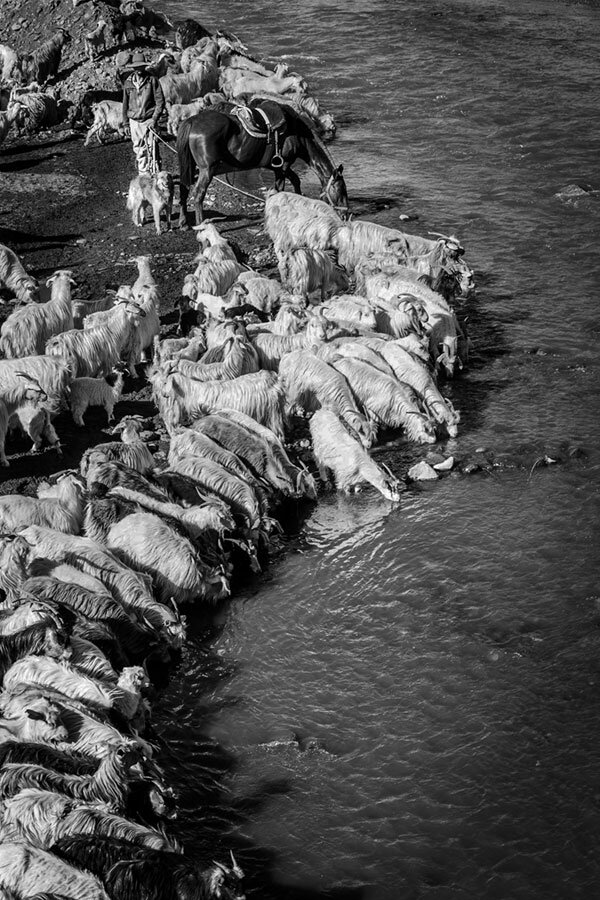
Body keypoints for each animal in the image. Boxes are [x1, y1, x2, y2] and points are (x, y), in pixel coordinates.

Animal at [176, 101, 350, 229]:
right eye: (340, 190)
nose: (346, 215)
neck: (298, 133)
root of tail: (192, 121)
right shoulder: (283, 165)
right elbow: (278, 189)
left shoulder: (280, 166)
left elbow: (295, 181)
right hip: (207, 169)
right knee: (198, 193)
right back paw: (201, 224)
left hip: (191, 166)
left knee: (184, 188)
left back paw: (184, 223)